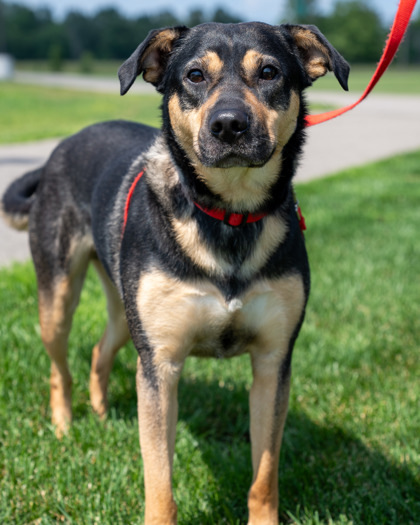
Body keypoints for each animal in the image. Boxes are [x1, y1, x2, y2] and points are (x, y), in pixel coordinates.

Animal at [1, 21, 350, 524]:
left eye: (269, 72)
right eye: (194, 75)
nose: (228, 124)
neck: (228, 216)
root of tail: (58, 150)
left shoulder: (273, 361)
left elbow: (264, 475)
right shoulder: (160, 363)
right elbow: (159, 481)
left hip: (126, 311)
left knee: (99, 351)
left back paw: (101, 415)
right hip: (60, 295)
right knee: (59, 366)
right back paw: (65, 426)